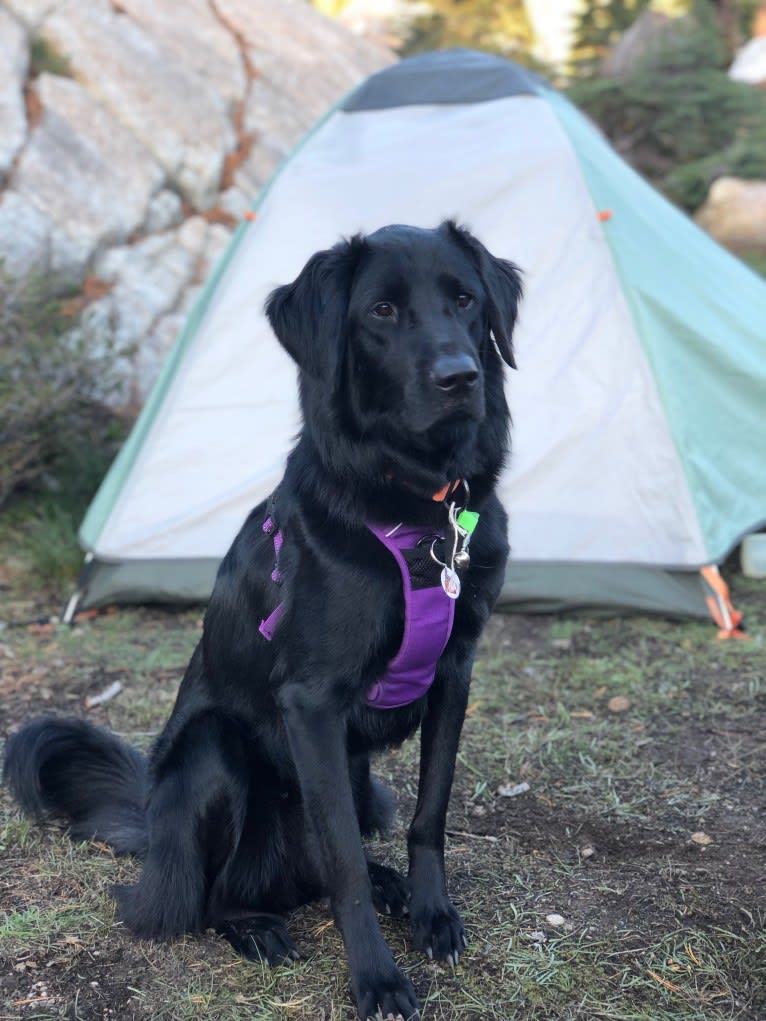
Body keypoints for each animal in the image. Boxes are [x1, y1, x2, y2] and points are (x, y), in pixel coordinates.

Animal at [4, 223, 522, 1021]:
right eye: (381, 311)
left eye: (465, 300)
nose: (459, 377)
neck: (417, 507)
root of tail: (153, 831)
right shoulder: (311, 701)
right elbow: (340, 859)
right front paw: (377, 979)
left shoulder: (456, 672)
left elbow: (429, 814)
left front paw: (433, 914)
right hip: (215, 757)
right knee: (209, 899)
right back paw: (254, 926)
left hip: (366, 785)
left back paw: (389, 885)